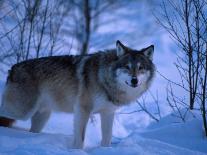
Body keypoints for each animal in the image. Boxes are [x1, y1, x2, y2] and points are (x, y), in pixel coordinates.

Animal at [0, 40, 155, 148]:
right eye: (127, 67)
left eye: (141, 68)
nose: (134, 80)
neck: (103, 78)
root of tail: (12, 68)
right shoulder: (82, 110)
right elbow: (80, 137)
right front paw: (77, 151)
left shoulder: (108, 113)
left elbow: (107, 137)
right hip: (22, 112)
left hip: (41, 118)